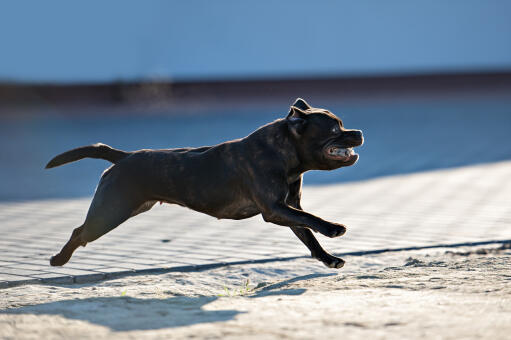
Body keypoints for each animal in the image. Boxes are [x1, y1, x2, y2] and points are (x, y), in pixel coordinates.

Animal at [46, 98, 362, 268]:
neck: (283, 153)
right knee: (79, 232)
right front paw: (333, 228)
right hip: (109, 212)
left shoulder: (287, 208)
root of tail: (123, 157)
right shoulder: (274, 209)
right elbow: (312, 219)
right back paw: (59, 259)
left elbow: (306, 232)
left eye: (342, 125)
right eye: (335, 129)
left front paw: (327, 257)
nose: (358, 132)